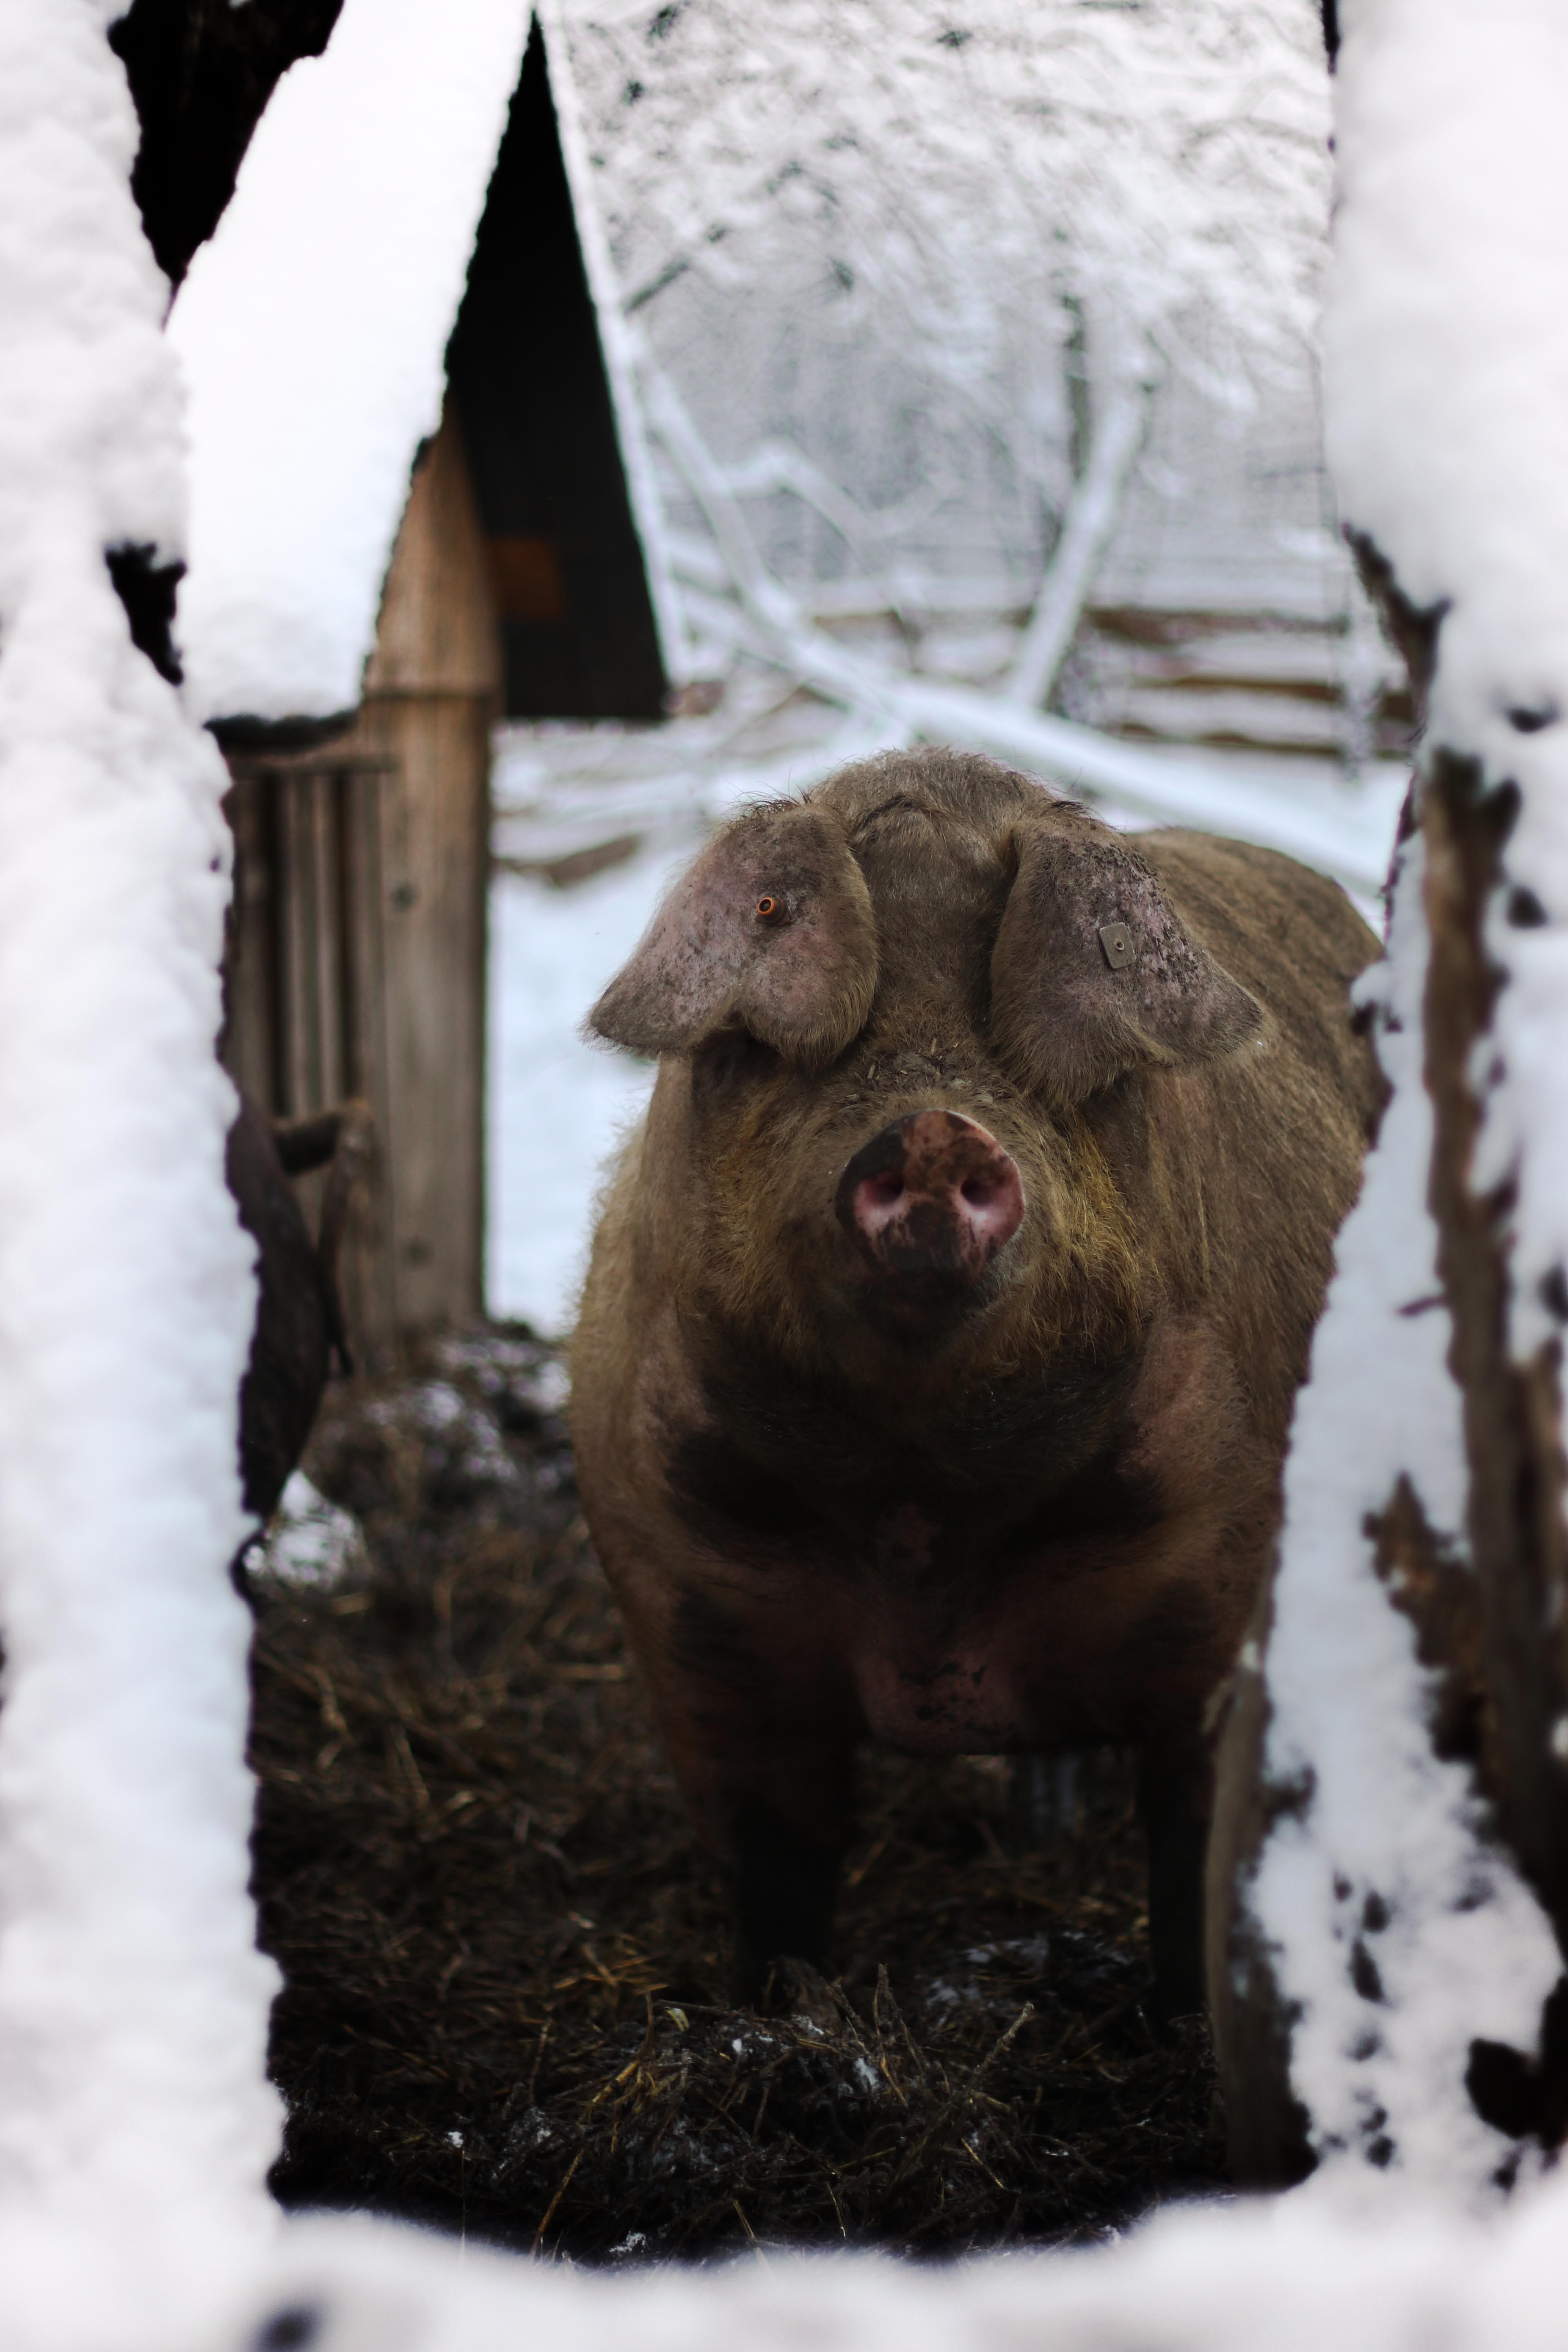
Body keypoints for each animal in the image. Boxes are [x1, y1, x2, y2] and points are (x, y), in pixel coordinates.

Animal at [571, 753, 1382, 2023]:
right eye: (789, 1051)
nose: (936, 1129)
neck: (924, 1523)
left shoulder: (1226, 1597)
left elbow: (1192, 1857)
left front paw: (1183, 2024)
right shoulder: (689, 1611)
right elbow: (774, 1866)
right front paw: (776, 2019)